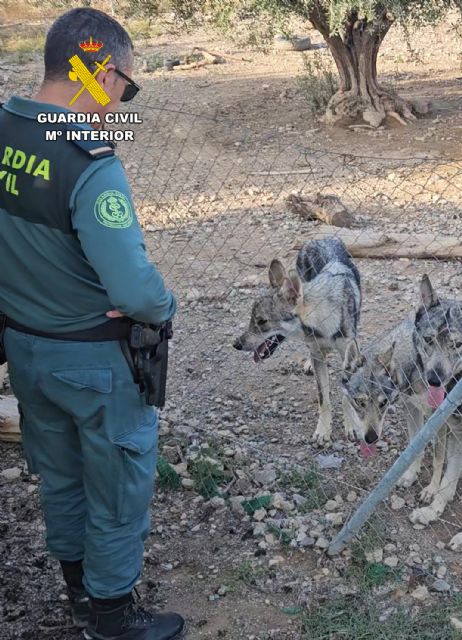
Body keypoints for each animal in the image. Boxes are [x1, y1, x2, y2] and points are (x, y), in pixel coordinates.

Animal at [235, 236, 360, 444]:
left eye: (262, 321)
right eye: (252, 319)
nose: (236, 344)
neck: (324, 322)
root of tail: (322, 237)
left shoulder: (348, 356)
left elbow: (345, 395)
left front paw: (352, 427)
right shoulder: (317, 351)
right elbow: (323, 398)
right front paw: (323, 431)